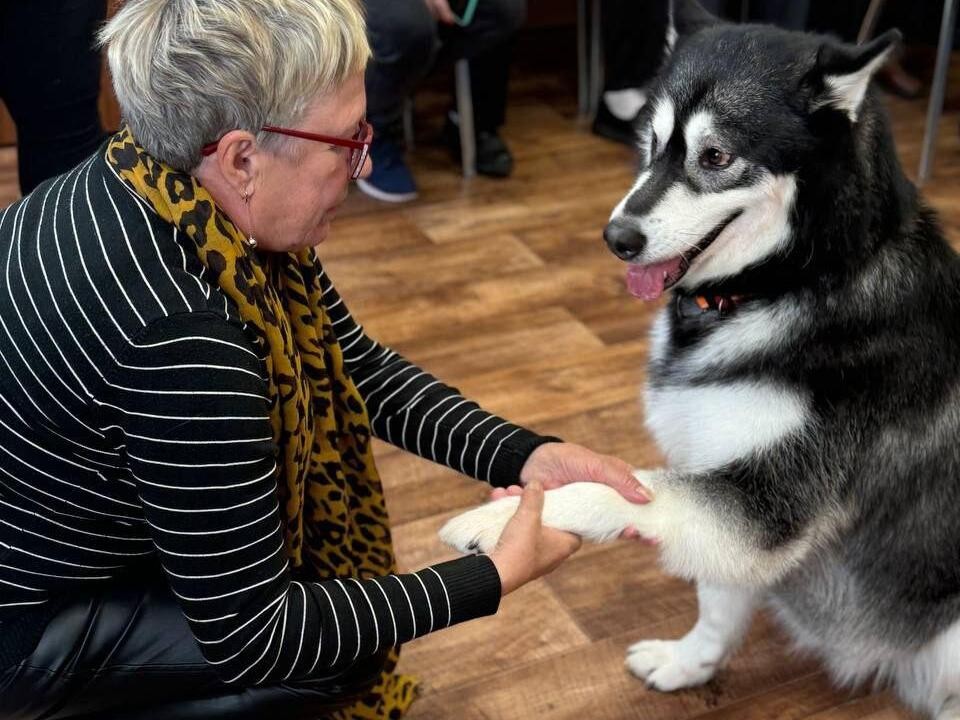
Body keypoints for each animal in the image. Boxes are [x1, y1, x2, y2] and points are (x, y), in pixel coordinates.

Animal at [440, 2, 960, 716]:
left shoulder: (761, 506)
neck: (796, 281)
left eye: (715, 156)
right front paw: (689, 663)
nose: (617, 238)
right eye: (652, 141)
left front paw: (497, 518)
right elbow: (716, 608)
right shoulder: (725, 497)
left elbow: (623, 491)